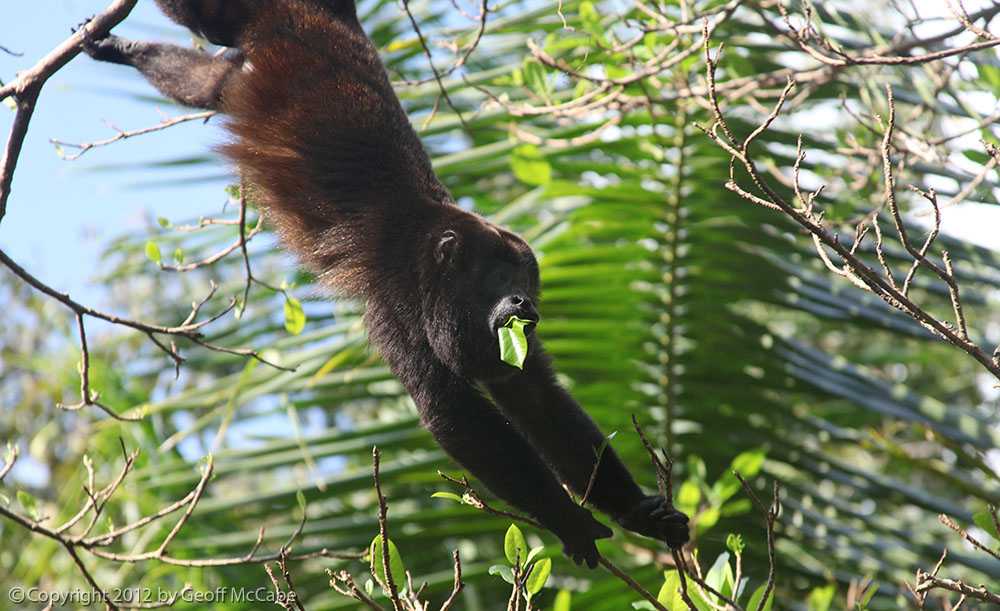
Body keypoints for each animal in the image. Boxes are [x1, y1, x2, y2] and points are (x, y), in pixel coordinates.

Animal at [82, 0, 689, 567]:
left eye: (528, 282)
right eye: (499, 275)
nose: (524, 302)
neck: (430, 253)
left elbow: (536, 398)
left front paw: (638, 513)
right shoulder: (397, 300)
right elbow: (451, 412)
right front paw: (569, 519)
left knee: (215, 80)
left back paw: (130, 51)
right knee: (201, 28)